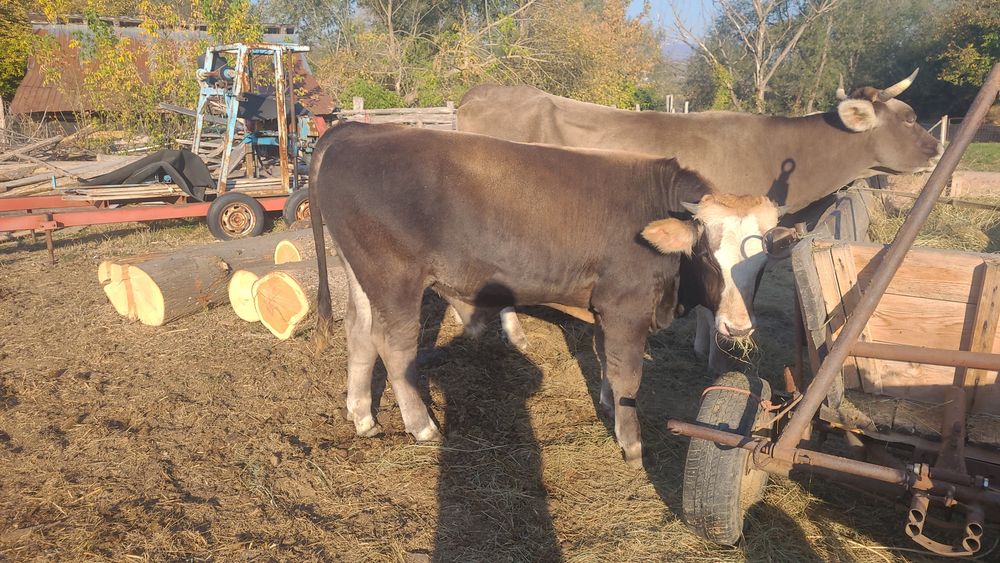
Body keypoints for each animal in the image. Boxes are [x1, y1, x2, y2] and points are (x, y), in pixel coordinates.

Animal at [308, 122, 781, 468]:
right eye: (706, 254)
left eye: (763, 260)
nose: (739, 327)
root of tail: (358, 131)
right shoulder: (625, 308)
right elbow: (628, 375)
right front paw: (631, 445)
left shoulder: (604, 309)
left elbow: (605, 360)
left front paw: (607, 403)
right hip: (396, 279)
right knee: (394, 346)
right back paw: (421, 425)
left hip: (363, 277)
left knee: (360, 334)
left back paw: (362, 415)